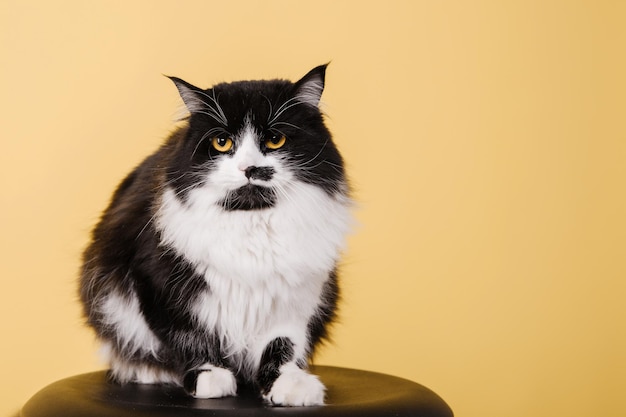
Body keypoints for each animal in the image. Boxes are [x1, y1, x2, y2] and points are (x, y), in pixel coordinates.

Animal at [78, 65, 352, 406]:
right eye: (222, 142)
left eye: (275, 140)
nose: (249, 168)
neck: (251, 225)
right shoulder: (157, 283)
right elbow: (190, 336)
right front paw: (210, 377)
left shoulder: (295, 297)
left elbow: (282, 345)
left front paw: (288, 386)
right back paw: (147, 371)